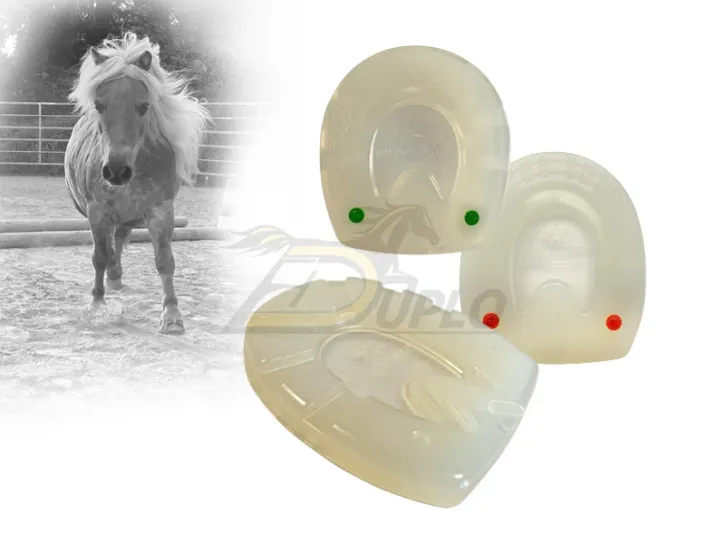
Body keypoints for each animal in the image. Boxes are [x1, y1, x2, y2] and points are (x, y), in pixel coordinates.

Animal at [64, 32, 211, 334]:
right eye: (98, 105)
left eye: (144, 106)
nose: (116, 171)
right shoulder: (97, 212)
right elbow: (99, 255)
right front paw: (97, 304)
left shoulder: (161, 211)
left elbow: (165, 261)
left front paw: (172, 315)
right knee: (110, 246)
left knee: (119, 239)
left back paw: (116, 276)